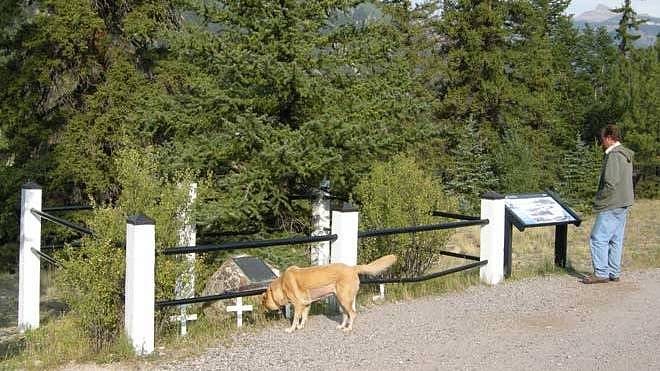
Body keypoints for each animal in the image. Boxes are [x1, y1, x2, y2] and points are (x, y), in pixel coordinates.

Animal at [262, 256, 398, 334]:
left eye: (264, 302)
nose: (265, 311)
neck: (282, 284)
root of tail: (352, 268)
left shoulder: (298, 305)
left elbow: (296, 319)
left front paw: (291, 329)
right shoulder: (306, 304)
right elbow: (303, 317)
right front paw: (301, 327)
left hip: (344, 299)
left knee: (352, 314)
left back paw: (348, 328)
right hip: (340, 300)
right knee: (345, 315)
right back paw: (341, 326)